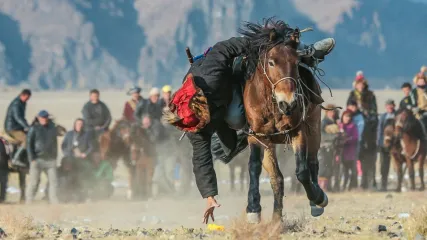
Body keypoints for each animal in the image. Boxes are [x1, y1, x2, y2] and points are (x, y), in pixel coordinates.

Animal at [241, 19, 328, 223]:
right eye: (271, 62)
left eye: (296, 62)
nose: (288, 102)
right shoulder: (256, 136)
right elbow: (254, 167)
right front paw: (253, 209)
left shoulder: (298, 131)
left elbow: (302, 171)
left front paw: (317, 197)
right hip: (269, 145)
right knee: (277, 178)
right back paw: (276, 219)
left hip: (314, 128)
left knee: (312, 161)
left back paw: (316, 202)